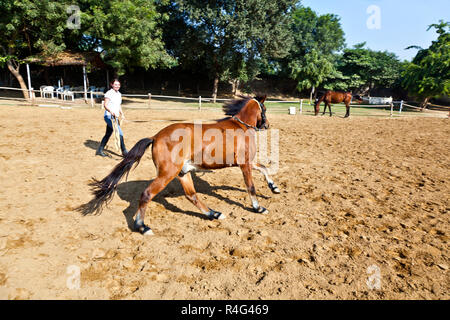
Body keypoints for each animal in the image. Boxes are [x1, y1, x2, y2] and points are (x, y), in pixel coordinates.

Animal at [79, 95, 280, 235]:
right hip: (167, 174)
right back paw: (142, 227)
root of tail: (155, 137)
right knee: (146, 195)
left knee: (192, 196)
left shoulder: (248, 163)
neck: (241, 127)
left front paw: (274, 188)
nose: (267, 125)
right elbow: (251, 187)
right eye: (265, 109)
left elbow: (264, 168)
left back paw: (213, 214)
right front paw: (258, 208)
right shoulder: (244, 164)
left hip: (183, 172)